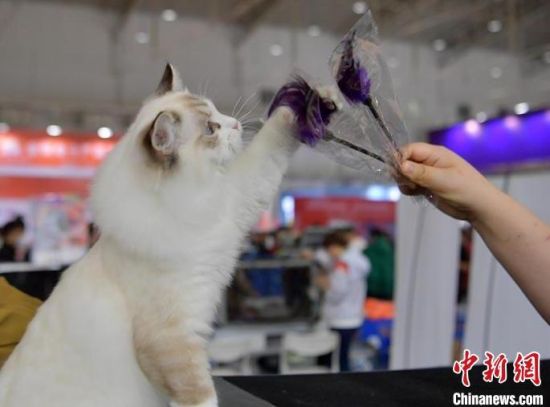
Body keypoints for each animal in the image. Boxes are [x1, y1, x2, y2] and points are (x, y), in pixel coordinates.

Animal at [0, 64, 324, 407]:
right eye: (211, 128)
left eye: (217, 113)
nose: (236, 124)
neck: (184, 204)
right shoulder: (172, 338)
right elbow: (199, 394)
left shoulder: (237, 196)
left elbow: (272, 140)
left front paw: (312, 100)